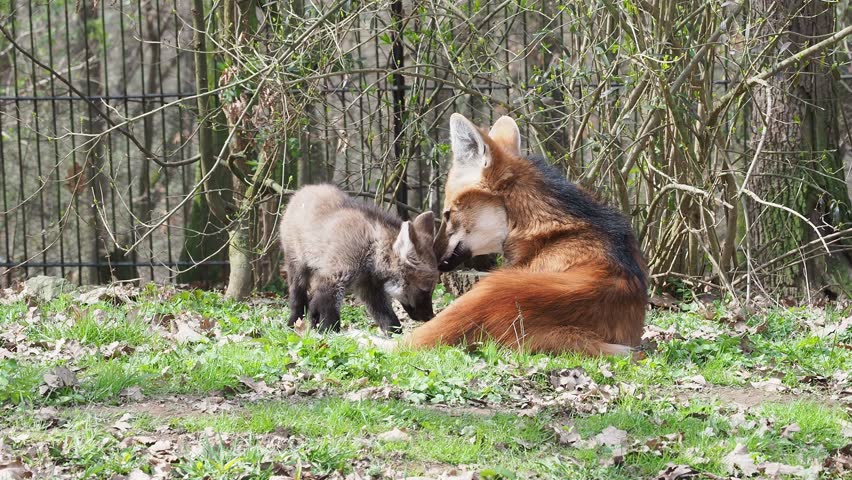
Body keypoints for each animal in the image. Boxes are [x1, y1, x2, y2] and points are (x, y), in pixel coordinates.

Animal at [280, 184, 438, 335]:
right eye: (425, 291)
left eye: (431, 291)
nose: (430, 317)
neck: (371, 252)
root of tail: (303, 190)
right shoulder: (336, 278)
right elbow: (329, 315)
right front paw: (329, 335)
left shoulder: (369, 287)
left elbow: (389, 319)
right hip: (298, 267)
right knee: (298, 298)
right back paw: (292, 324)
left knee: (312, 301)